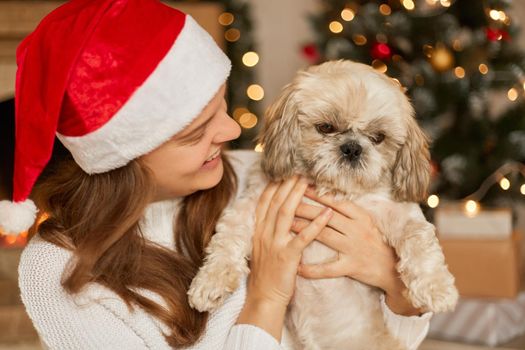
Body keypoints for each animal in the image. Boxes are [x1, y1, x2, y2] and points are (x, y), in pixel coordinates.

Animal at [186, 60, 456, 350]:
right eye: (325, 127)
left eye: (378, 137)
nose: (352, 148)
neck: (332, 188)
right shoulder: (252, 204)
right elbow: (227, 238)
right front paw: (210, 282)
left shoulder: (397, 213)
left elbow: (418, 238)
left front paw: (438, 288)